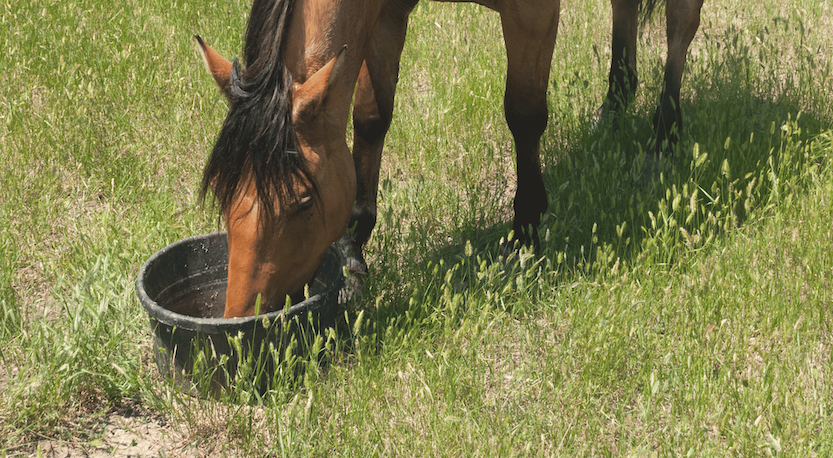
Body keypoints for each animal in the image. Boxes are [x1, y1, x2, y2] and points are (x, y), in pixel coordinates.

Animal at [197, 0, 704, 316]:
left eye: (302, 202)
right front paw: (354, 251)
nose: (241, 316)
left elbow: (523, 115)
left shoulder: (531, 14)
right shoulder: (386, 13)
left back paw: (663, 138)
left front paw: (525, 234)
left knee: (681, 22)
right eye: (221, 193)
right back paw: (615, 104)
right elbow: (372, 118)